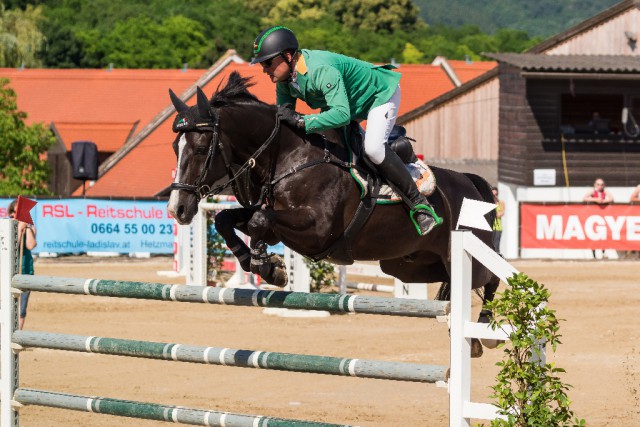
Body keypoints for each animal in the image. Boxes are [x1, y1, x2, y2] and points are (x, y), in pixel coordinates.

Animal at [168, 72, 502, 354]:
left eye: (201, 148)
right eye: (175, 147)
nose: (177, 209)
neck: (290, 156)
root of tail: (470, 183)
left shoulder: (318, 232)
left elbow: (260, 220)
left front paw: (267, 264)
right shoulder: (278, 224)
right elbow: (229, 219)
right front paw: (261, 263)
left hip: (466, 254)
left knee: (493, 277)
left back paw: (483, 332)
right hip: (410, 266)